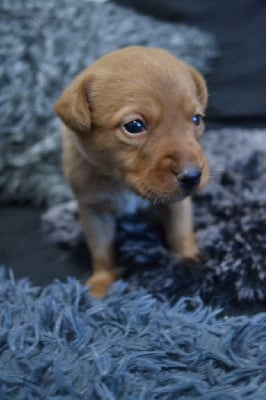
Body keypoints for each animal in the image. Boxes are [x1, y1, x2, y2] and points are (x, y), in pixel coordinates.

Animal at [55, 46, 210, 296]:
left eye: (197, 119)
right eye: (134, 126)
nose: (193, 176)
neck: (121, 182)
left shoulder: (178, 203)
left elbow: (180, 229)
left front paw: (187, 257)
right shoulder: (93, 210)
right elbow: (101, 249)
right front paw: (102, 282)